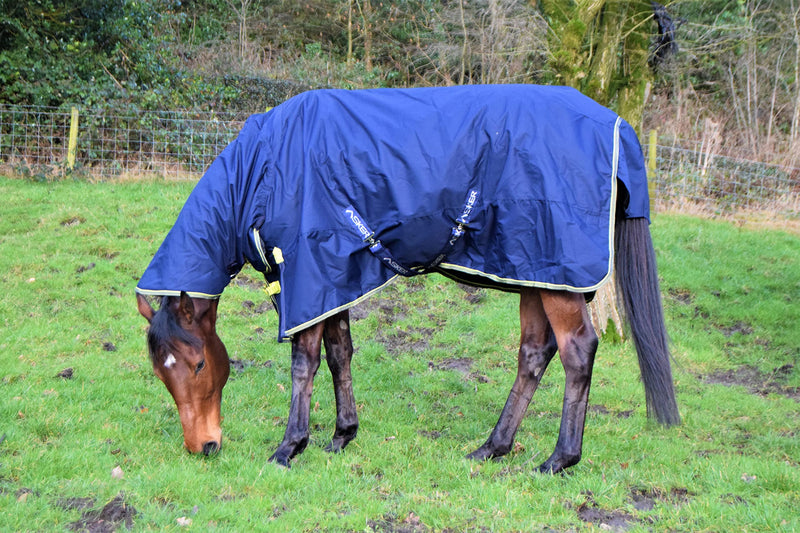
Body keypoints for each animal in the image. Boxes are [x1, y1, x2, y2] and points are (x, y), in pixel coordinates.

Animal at [135, 85, 680, 473]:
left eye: (199, 364)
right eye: (161, 373)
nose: (203, 447)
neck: (266, 170)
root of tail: (616, 125)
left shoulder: (310, 278)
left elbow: (304, 363)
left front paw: (290, 447)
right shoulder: (333, 280)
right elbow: (339, 353)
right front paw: (341, 436)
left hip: (555, 278)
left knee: (577, 351)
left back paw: (558, 459)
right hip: (536, 274)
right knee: (533, 354)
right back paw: (492, 447)